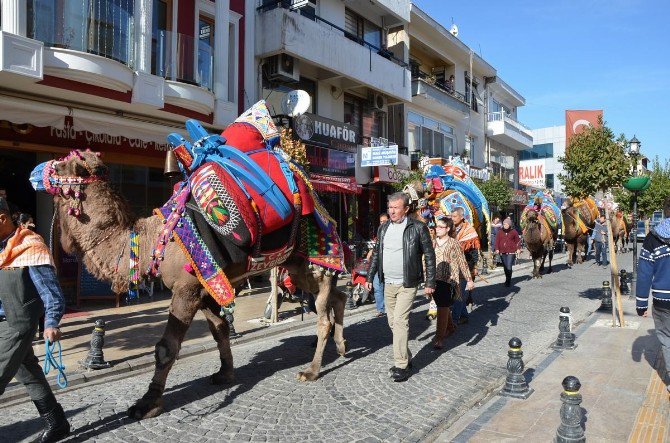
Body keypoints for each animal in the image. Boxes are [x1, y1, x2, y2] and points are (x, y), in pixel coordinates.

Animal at [28, 102, 350, 422]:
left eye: (59, 165)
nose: (34, 171)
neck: (150, 243)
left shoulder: (186, 288)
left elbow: (165, 348)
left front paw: (147, 403)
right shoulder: (205, 286)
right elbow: (219, 328)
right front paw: (225, 373)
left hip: (316, 254)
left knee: (323, 312)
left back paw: (311, 370)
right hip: (296, 264)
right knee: (338, 296)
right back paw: (341, 347)